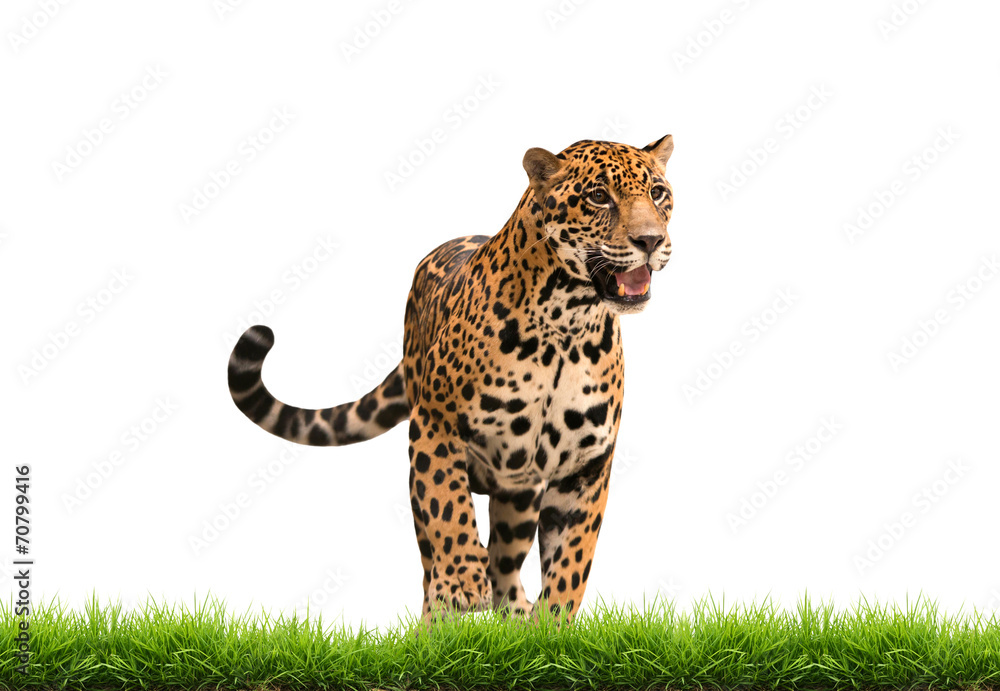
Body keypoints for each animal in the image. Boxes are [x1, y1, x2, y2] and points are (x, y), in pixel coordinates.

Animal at [228, 134, 675, 623]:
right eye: (598, 196)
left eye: (657, 193)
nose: (650, 240)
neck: (568, 325)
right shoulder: (435, 425)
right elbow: (448, 505)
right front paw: (461, 581)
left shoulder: (587, 463)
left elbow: (572, 560)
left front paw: (549, 626)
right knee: (434, 552)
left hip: (519, 493)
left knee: (505, 556)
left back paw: (513, 613)